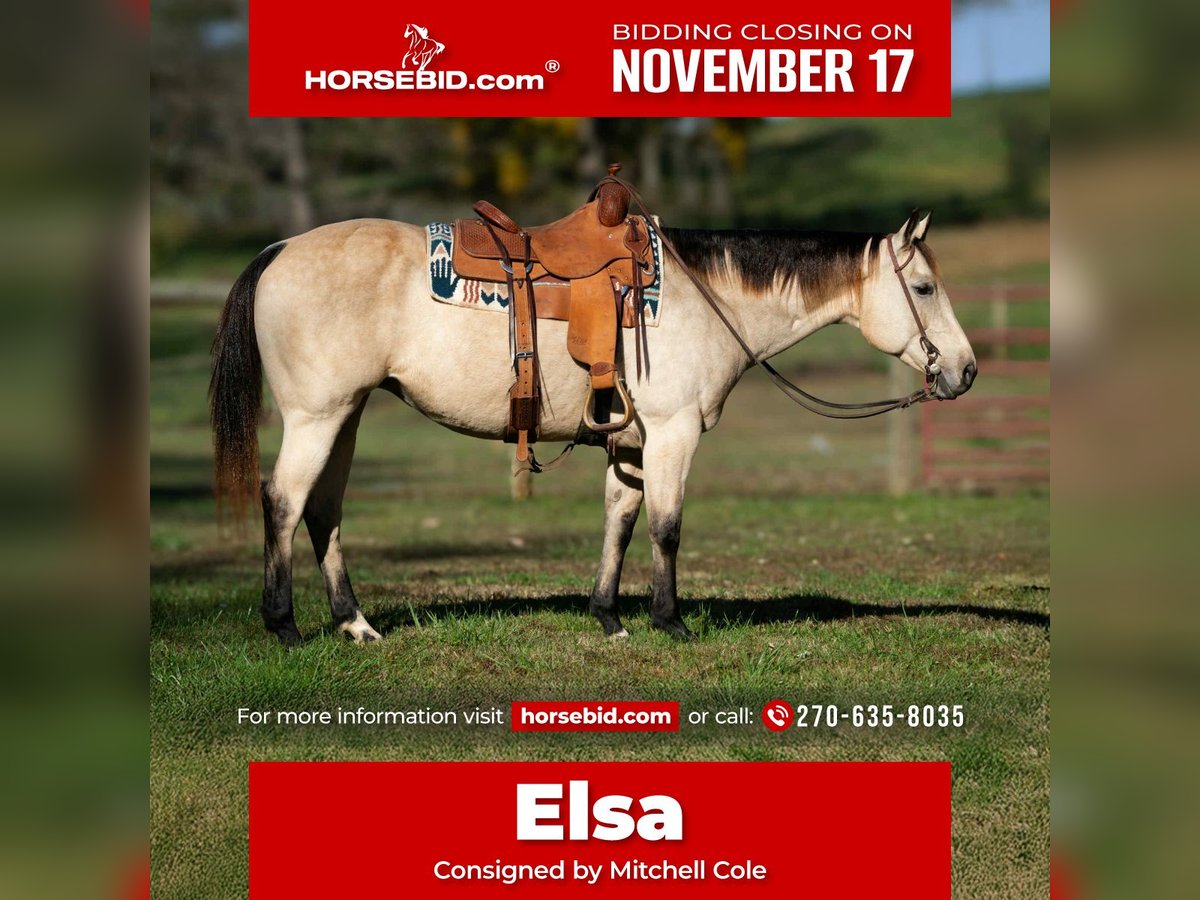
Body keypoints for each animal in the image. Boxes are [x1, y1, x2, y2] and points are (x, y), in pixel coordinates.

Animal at [209, 210, 976, 646]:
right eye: (925, 288)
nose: (966, 371)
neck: (706, 295)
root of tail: (280, 248)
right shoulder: (672, 432)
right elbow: (666, 526)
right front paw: (671, 621)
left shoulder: (630, 441)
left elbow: (622, 520)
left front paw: (609, 615)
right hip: (317, 416)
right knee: (284, 503)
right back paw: (285, 625)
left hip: (347, 414)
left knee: (324, 511)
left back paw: (356, 624)